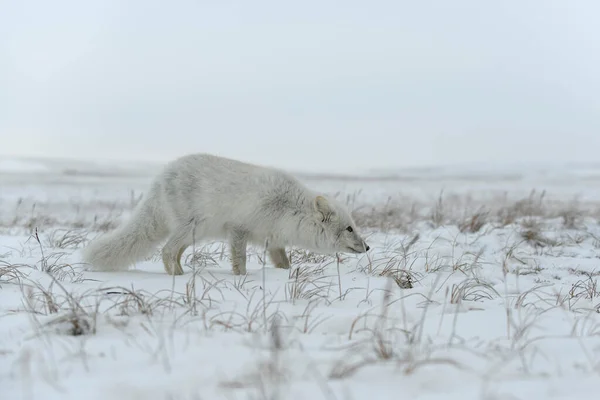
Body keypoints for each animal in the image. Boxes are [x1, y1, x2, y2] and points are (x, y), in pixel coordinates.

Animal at [81, 153, 368, 276]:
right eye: (349, 229)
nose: (367, 247)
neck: (288, 209)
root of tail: (161, 176)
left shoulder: (273, 240)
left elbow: (283, 262)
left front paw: (284, 275)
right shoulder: (238, 229)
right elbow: (239, 259)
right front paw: (241, 279)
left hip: (195, 234)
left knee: (175, 252)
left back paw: (181, 273)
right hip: (193, 226)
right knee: (167, 250)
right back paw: (177, 277)